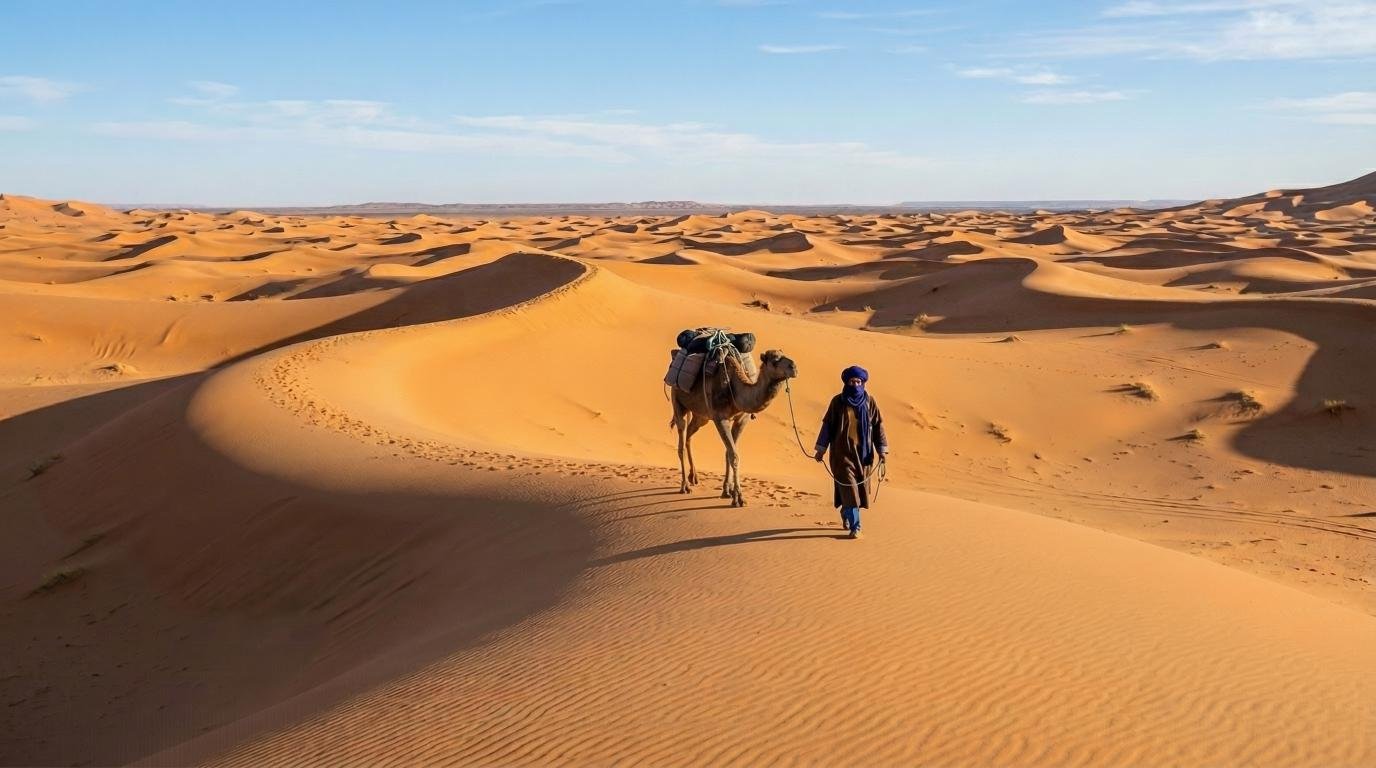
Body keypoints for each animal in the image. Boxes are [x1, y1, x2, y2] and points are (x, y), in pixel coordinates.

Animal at [668, 348, 798, 506]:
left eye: (783, 355)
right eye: (774, 361)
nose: (794, 367)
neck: (735, 390)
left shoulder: (741, 419)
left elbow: (729, 452)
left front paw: (727, 491)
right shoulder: (720, 418)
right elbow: (734, 455)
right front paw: (739, 498)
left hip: (701, 416)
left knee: (689, 435)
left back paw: (694, 477)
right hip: (678, 402)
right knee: (681, 440)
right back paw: (685, 486)